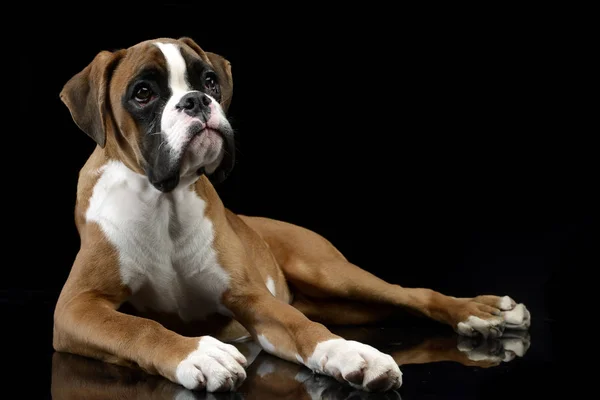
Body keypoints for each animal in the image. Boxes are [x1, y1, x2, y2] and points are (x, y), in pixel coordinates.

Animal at [54, 36, 532, 394]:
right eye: (143, 93)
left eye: (209, 80)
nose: (196, 101)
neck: (164, 202)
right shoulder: (77, 309)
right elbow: (137, 327)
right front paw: (199, 353)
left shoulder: (250, 298)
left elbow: (301, 326)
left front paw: (351, 353)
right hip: (345, 303)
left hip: (330, 273)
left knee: (409, 294)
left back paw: (482, 313)